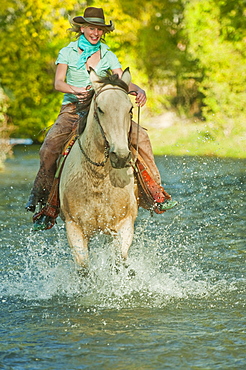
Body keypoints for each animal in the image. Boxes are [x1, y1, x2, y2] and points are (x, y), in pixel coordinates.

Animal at [58, 68, 137, 268]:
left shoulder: (124, 224)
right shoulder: (74, 228)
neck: (97, 178)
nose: (121, 156)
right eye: (100, 109)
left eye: (130, 109)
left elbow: (120, 261)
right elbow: (84, 268)